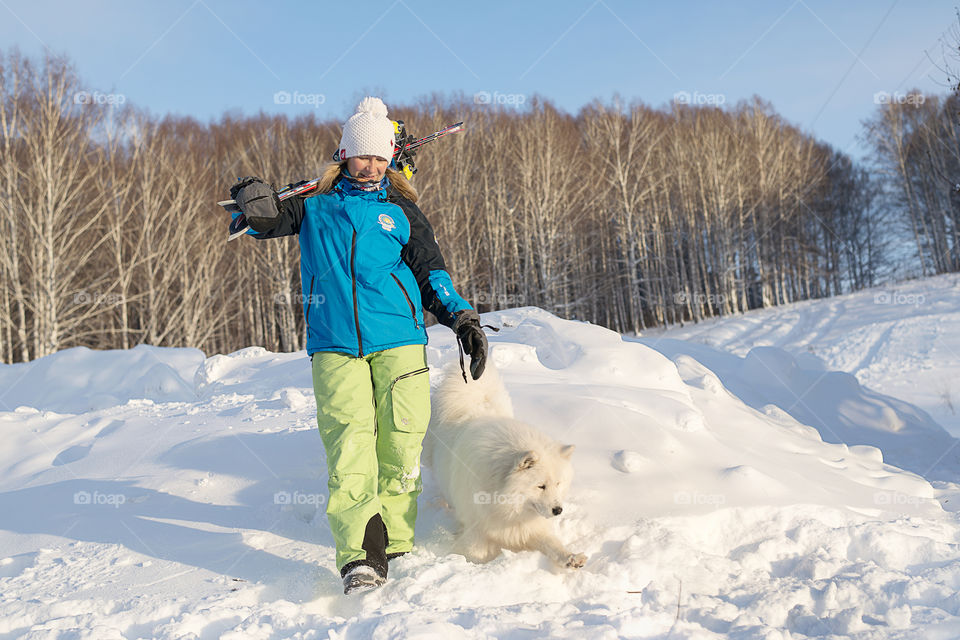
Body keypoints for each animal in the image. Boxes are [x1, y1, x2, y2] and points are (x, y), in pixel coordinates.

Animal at [426, 362, 588, 568]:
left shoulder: (527, 526)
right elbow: (476, 552)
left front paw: (571, 558)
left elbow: (551, 543)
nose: (558, 510)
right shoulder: (477, 525)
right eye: (541, 486)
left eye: (558, 484)